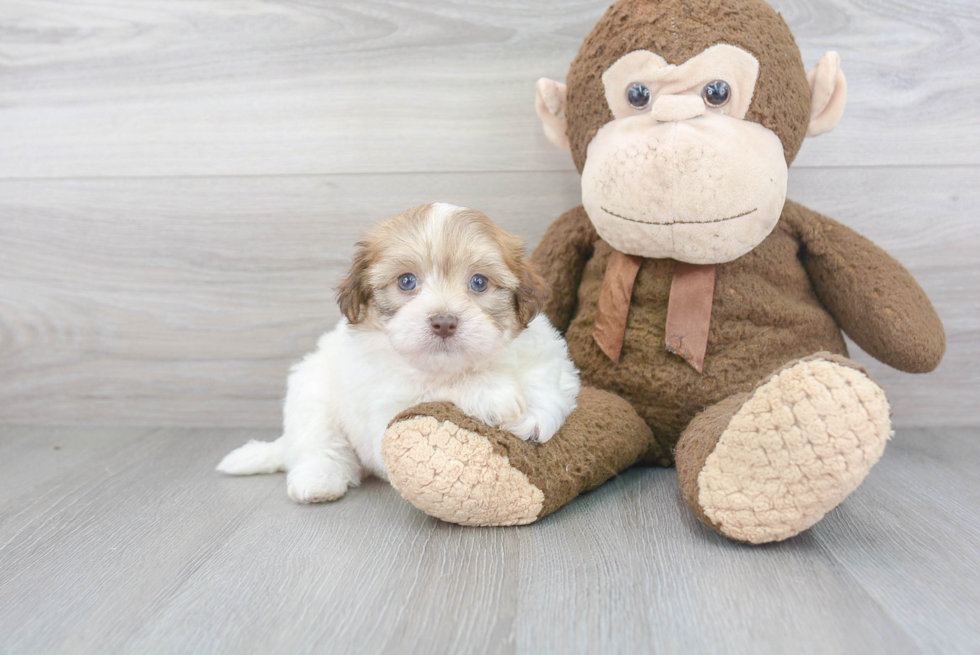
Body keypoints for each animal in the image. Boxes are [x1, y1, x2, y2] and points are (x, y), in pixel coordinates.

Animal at [218, 202, 580, 504]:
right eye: (406, 281)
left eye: (479, 282)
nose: (444, 322)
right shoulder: (388, 405)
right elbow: (438, 390)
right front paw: (493, 393)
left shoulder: (550, 353)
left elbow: (546, 375)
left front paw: (535, 413)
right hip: (311, 392)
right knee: (316, 442)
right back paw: (318, 479)